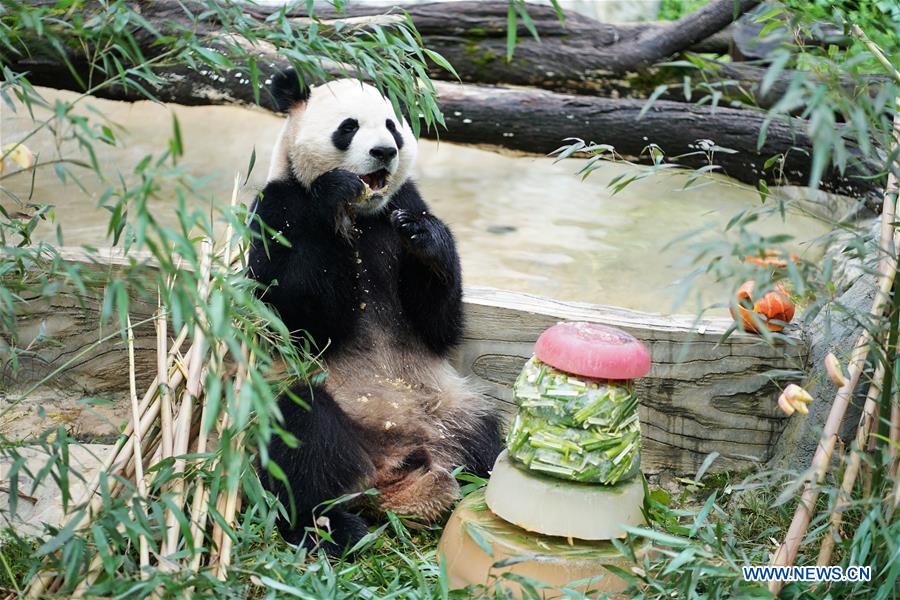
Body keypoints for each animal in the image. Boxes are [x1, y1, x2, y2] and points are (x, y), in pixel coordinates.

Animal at [247, 69, 503, 554]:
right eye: (348, 127)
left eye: (391, 127)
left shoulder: (405, 201)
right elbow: (298, 317)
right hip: (319, 411)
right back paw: (330, 528)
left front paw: (426, 238)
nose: (384, 151)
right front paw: (334, 196)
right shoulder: (277, 209)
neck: (364, 216)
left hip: (447, 410)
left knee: (487, 434)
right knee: (301, 435)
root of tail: (393, 472)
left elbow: (439, 323)